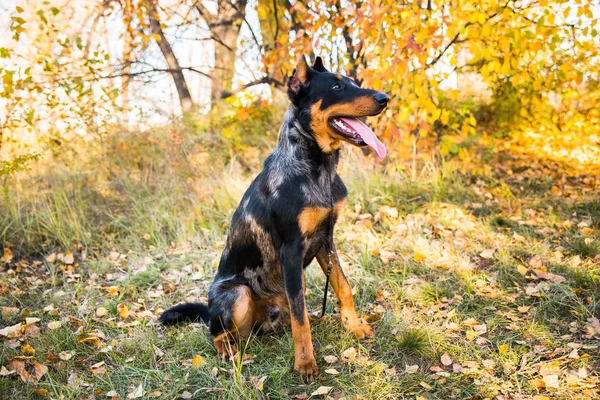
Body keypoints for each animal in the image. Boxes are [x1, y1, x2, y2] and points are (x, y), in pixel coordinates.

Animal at [161, 54, 390, 382]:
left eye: (353, 82)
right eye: (336, 86)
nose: (385, 98)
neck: (316, 166)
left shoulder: (326, 240)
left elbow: (342, 287)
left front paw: (354, 326)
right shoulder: (292, 249)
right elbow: (299, 317)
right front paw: (305, 362)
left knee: (294, 311)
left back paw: (318, 319)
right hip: (237, 293)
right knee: (217, 331)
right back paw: (226, 349)